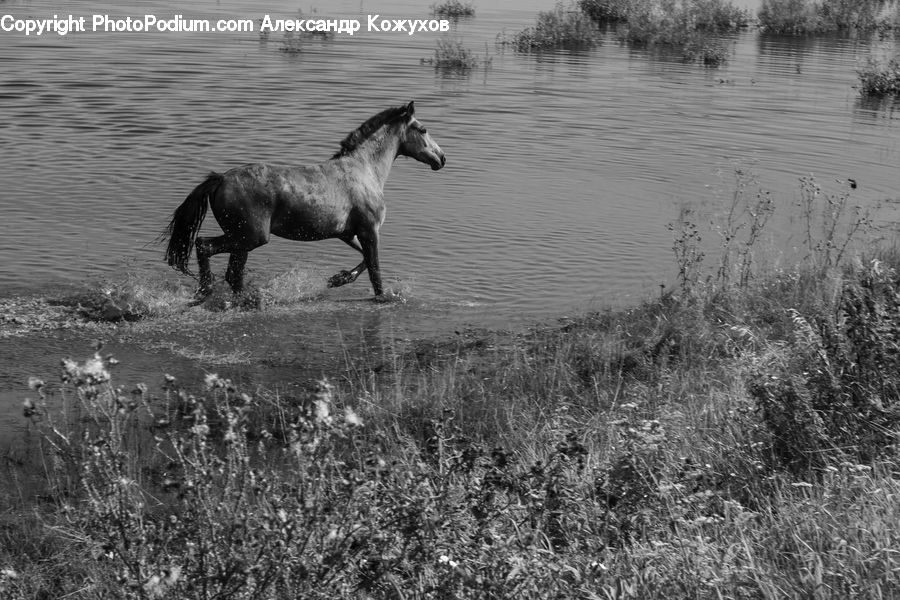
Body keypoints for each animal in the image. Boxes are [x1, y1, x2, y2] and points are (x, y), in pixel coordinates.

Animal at [162, 102, 446, 304]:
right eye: (423, 129)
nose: (442, 158)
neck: (364, 170)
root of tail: (220, 179)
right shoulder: (369, 230)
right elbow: (375, 267)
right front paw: (383, 297)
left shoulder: (348, 233)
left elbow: (365, 259)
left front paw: (338, 279)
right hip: (250, 237)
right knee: (205, 247)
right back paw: (210, 291)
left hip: (242, 238)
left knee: (232, 271)